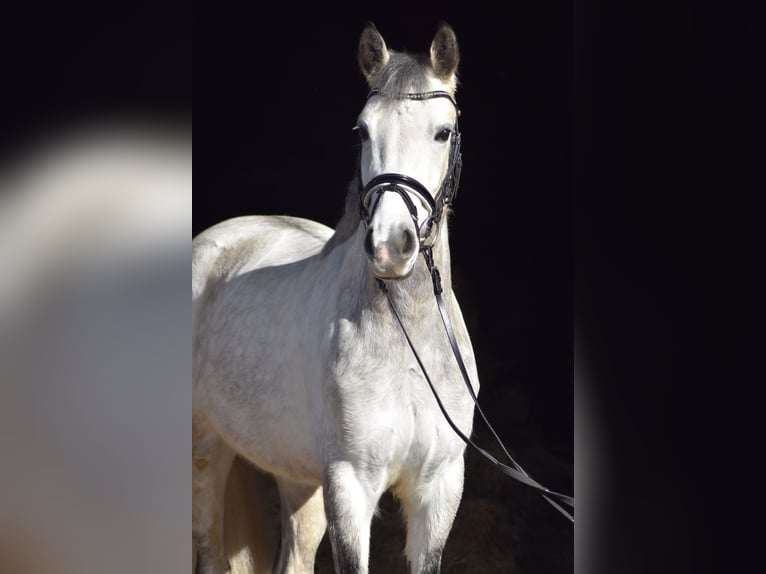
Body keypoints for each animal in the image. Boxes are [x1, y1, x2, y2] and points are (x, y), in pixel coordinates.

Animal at [193, 22, 478, 574]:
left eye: (443, 132)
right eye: (363, 130)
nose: (390, 246)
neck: (408, 345)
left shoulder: (439, 488)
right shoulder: (350, 484)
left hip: (298, 477)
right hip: (205, 453)